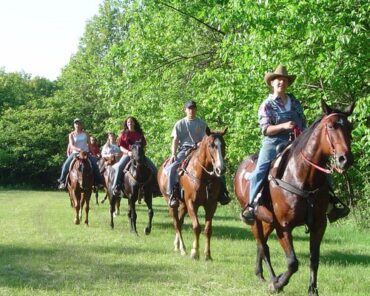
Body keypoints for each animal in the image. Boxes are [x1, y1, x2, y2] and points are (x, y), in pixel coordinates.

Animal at [158, 126, 227, 260]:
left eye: (224, 145)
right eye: (211, 145)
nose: (220, 169)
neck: (203, 176)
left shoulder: (211, 205)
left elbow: (208, 229)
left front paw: (207, 255)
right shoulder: (191, 203)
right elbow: (196, 227)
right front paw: (195, 252)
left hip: (183, 205)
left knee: (179, 222)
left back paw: (177, 246)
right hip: (172, 203)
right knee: (176, 223)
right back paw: (183, 248)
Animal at [234, 100, 356, 296]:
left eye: (350, 127)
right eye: (331, 126)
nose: (345, 159)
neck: (302, 177)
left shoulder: (319, 225)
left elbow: (314, 259)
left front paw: (313, 290)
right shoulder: (283, 226)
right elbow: (293, 262)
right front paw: (278, 284)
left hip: (267, 220)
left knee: (262, 246)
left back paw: (261, 275)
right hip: (256, 220)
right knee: (263, 246)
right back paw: (272, 278)